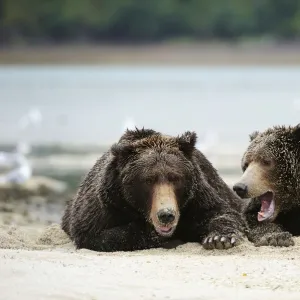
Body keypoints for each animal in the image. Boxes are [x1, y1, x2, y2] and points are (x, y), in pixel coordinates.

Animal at [61, 127, 246, 252]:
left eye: (175, 177)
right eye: (148, 180)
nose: (166, 215)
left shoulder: (197, 196)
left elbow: (221, 212)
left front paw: (219, 238)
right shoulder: (106, 204)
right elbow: (93, 234)